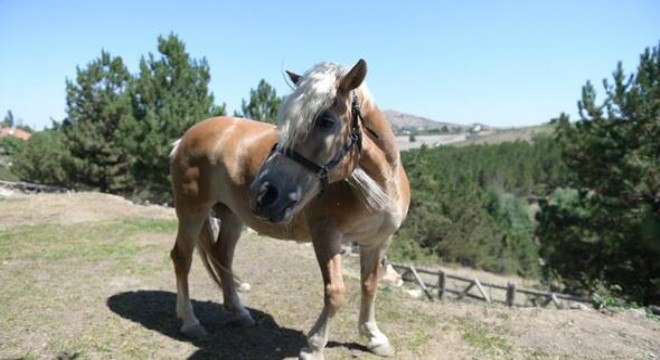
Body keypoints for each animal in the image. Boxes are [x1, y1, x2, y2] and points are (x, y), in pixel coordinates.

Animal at [169, 57, 408, 358]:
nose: (263, 193)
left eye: (326, 121)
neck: (382, 185)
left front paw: (374, 337)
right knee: (182, 258)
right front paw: (314, 346)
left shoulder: (377, 241)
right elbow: (335, 292)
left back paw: (239, 313)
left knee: (223, 255)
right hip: (192, 209)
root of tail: (185, 138)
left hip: (232, 215)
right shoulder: (326, 235)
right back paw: (190, 322)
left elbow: (370, 285)